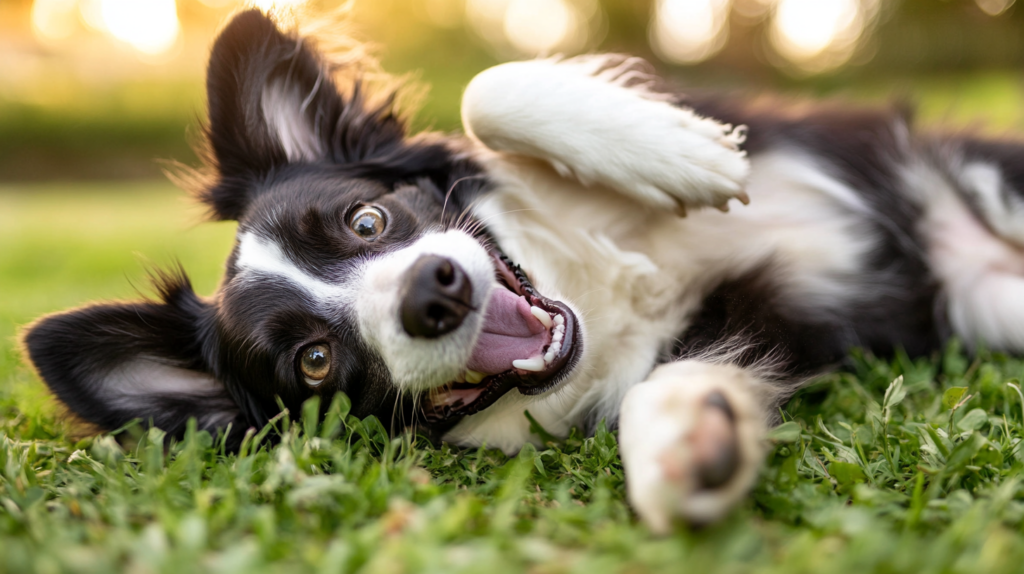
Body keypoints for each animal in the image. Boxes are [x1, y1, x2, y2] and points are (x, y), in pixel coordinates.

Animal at [19, 8, 1024, 532]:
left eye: (366, 219)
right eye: (311, 362)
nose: (433, 293)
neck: (600, 287)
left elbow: (487, 90)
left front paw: (679, 155)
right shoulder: (739, 329)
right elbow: (670, 391)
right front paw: (691, 448)